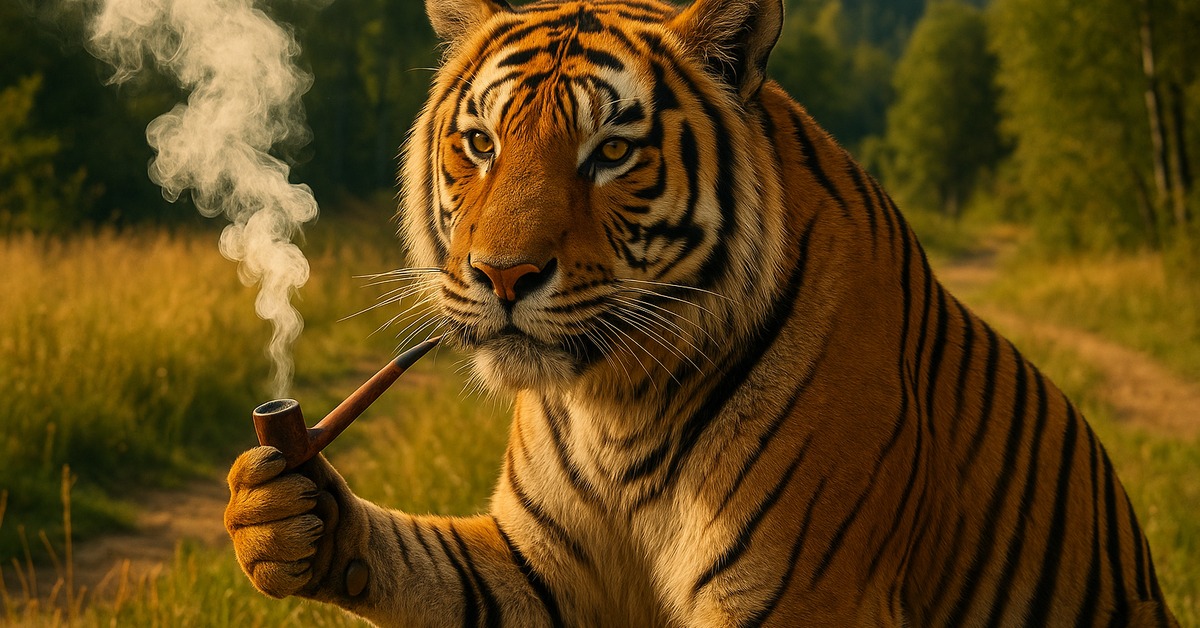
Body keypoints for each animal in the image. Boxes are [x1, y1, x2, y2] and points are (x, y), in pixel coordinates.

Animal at [223, 0, 1180, 625]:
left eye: (612, 152)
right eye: (482, 143)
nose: (502, 275)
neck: (618, 405)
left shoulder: (800, 598)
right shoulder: (535, 570)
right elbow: (424, 567)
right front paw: (279, 514)